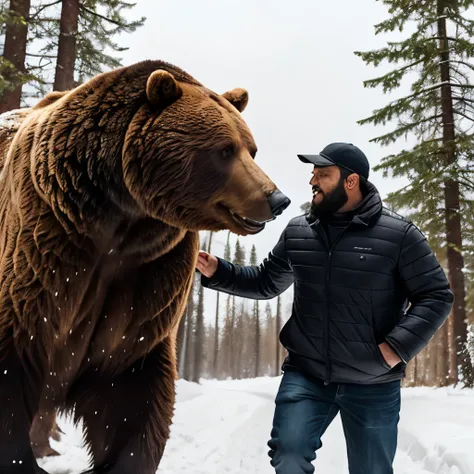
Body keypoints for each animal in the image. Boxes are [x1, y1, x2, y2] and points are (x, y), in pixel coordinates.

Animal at [0, 60, 288, 474]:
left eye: (252, 148)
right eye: (224, 150)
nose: (277, 198)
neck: (120, 216)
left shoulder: (150, 270)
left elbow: (131, 390)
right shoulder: (49, 239)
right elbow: (17, 347)